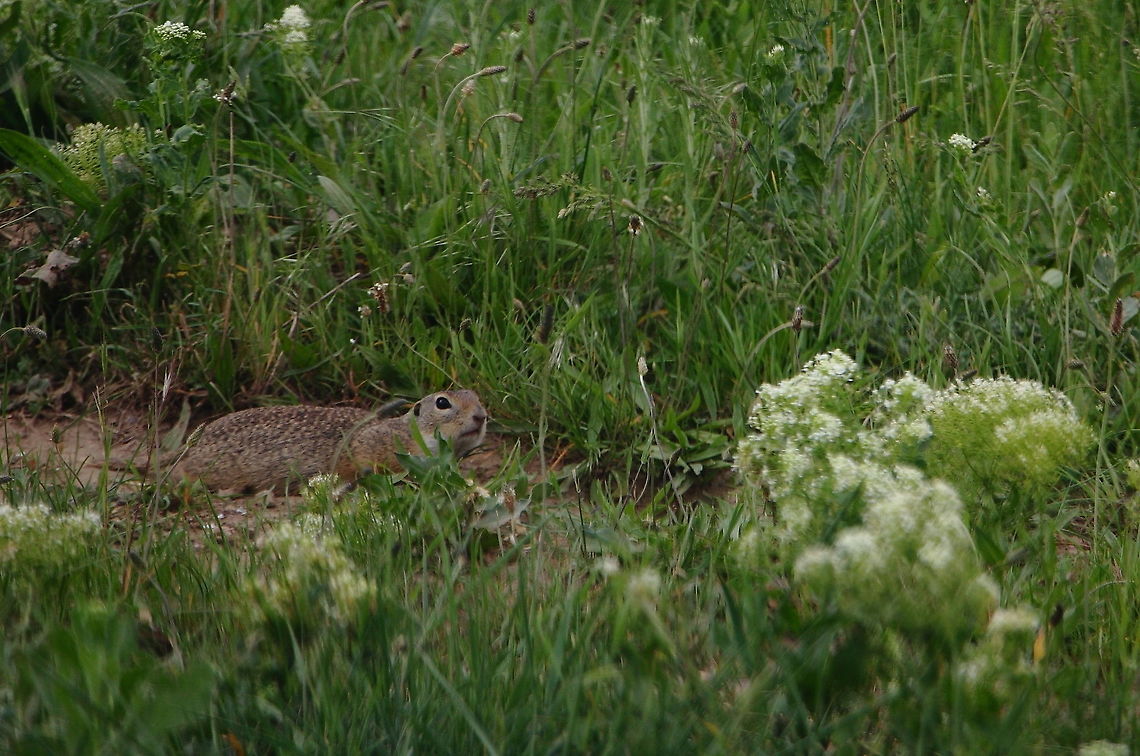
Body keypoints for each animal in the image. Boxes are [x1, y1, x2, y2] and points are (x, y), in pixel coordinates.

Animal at [175, 389, 487, 493]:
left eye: (475, 395)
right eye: (443, 403)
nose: (482, 416)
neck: (409, 432)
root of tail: (193, 444)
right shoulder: (372, 447)